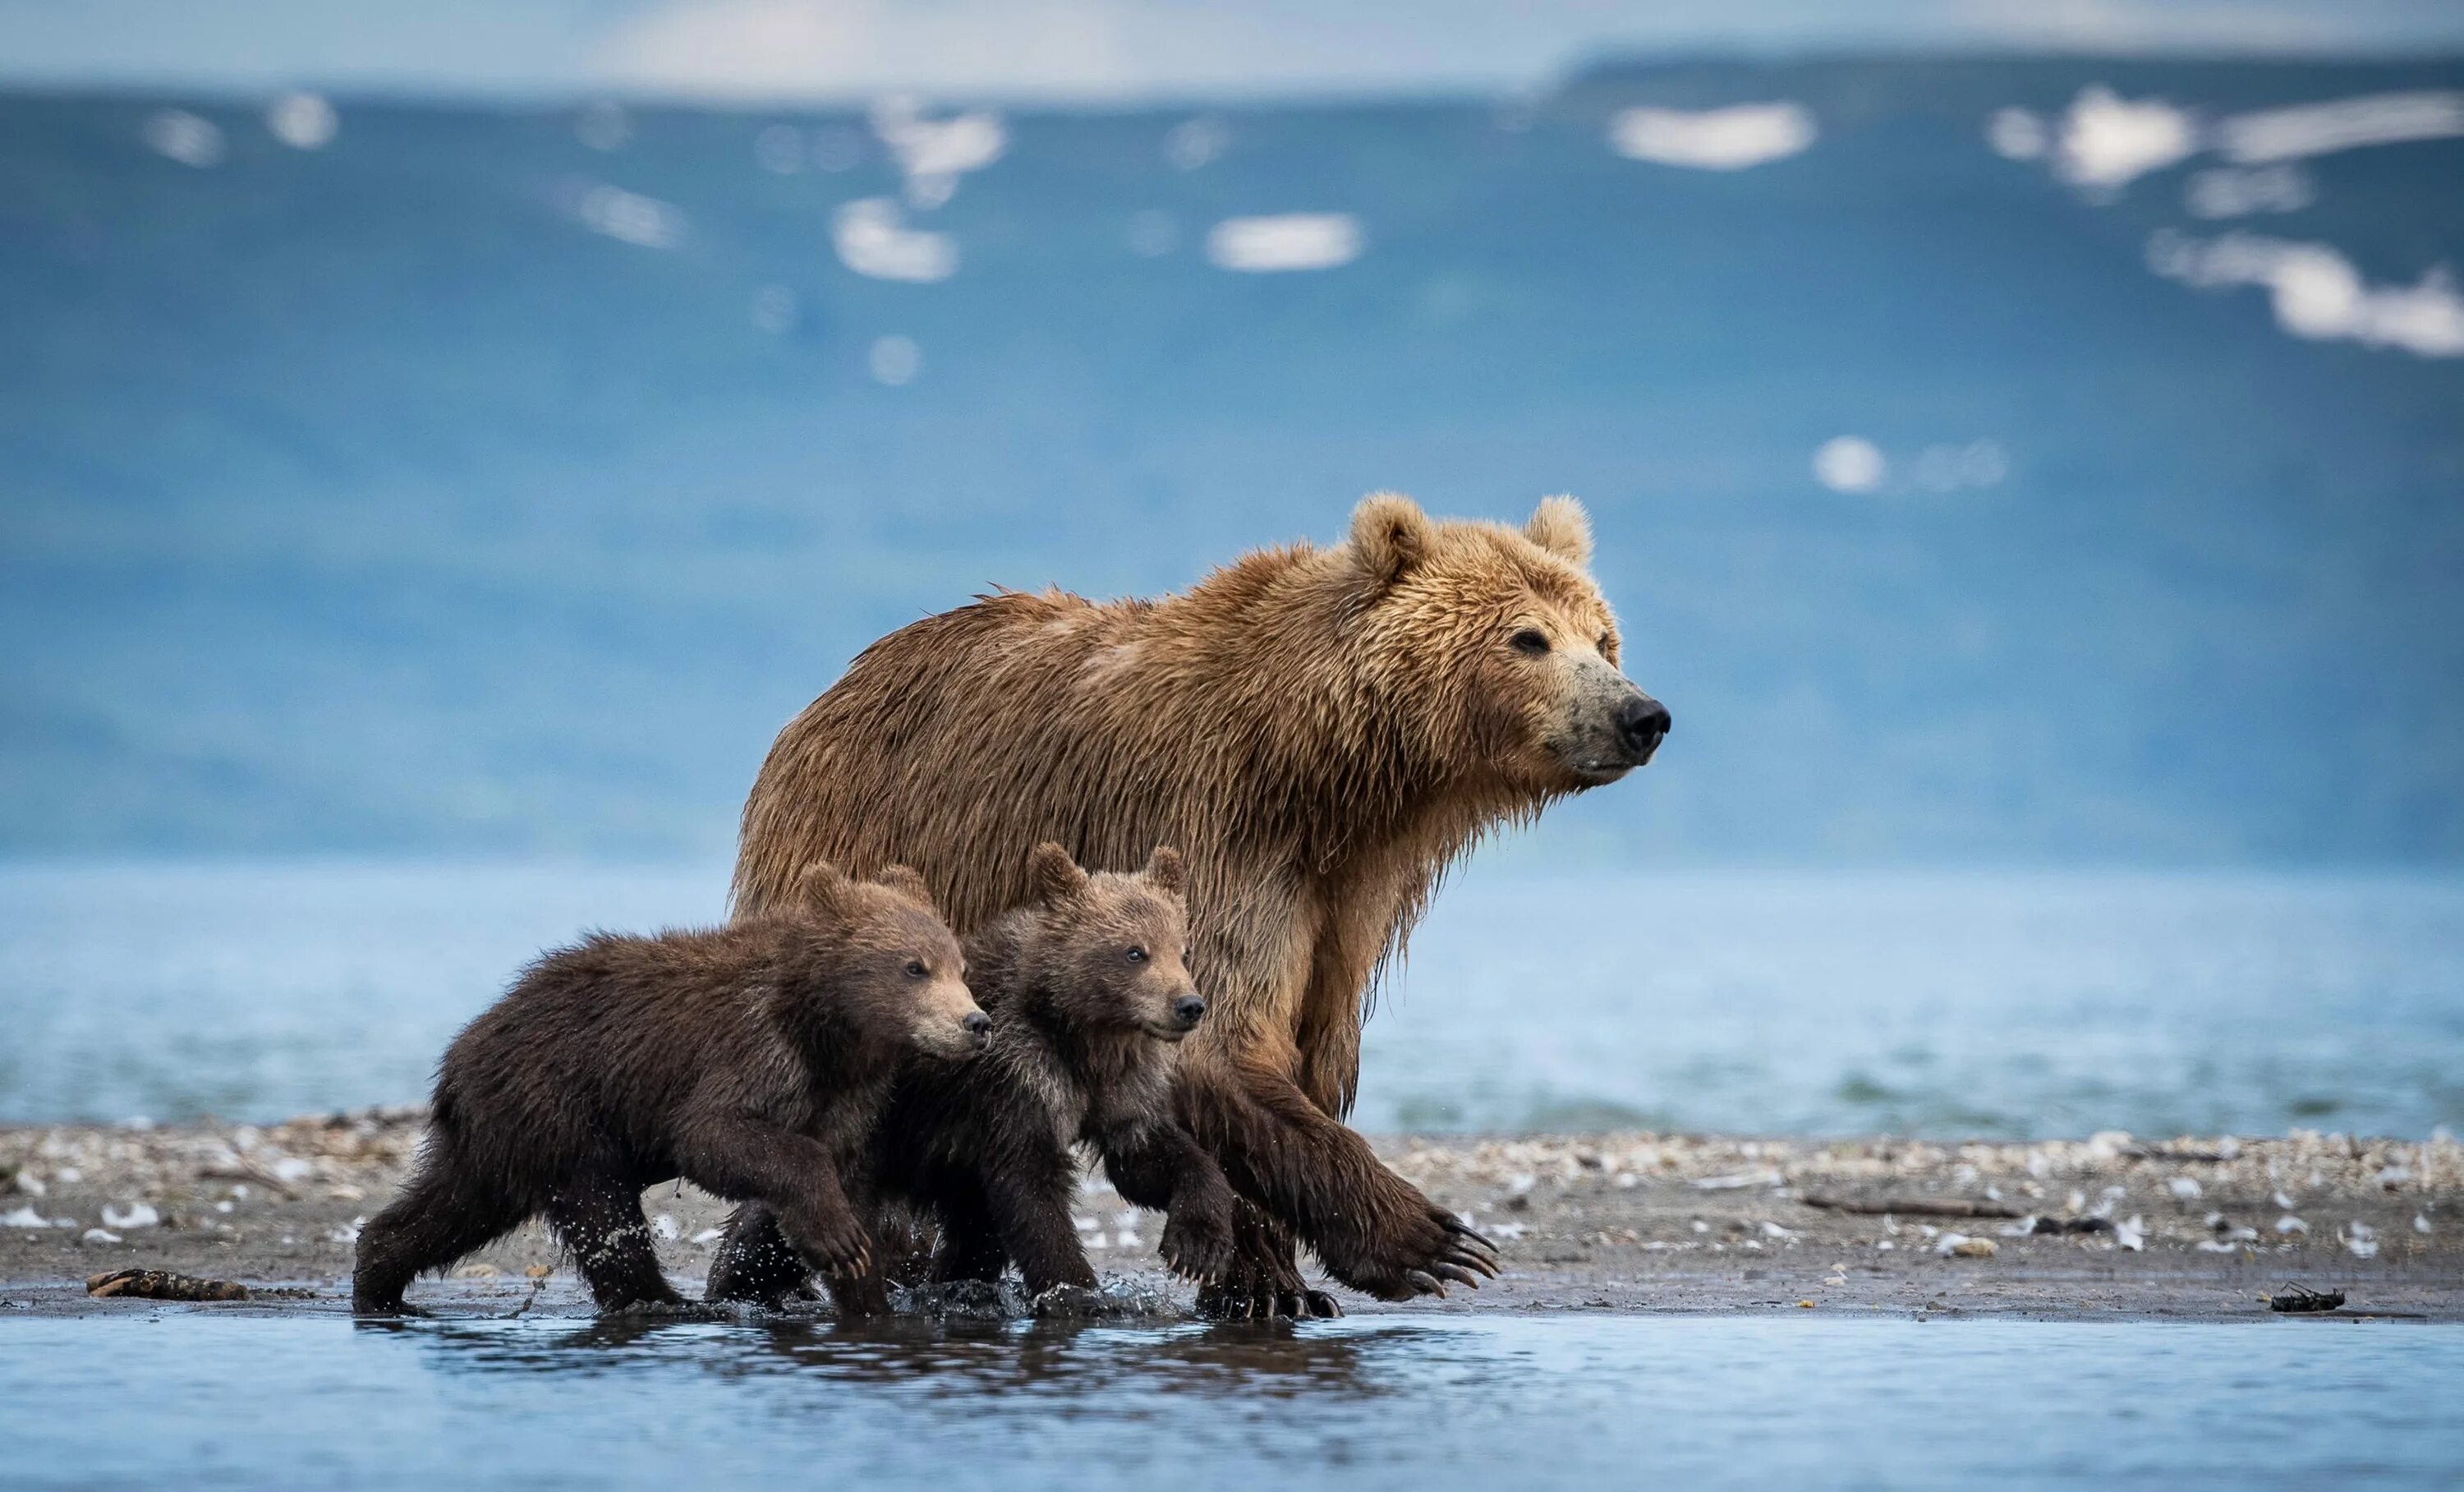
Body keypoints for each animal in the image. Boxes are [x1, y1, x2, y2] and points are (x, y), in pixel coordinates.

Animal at [352, 863, 986, 1311]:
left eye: (960, 966)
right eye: (914, 966)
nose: (974, 1023)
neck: (826, 1032)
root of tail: (458, 1056)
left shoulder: (845, 1098)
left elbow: (844, 1177)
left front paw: (857, 1275)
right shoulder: (752, 1050)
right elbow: (715, 1136)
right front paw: (839, 1240)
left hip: (503, 1131)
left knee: (456, 1203)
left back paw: (376, 1274)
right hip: (556, 1102)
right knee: (600, 1208)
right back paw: (662, 1300)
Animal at [710, 843, 1252, 1311]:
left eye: (1183, 949)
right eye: (1135, 952)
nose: (1189, 1005)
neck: (1079, 1036)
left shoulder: (1120, 1086)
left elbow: (1144, 1156)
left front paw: (1199, 1243)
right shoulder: (1017, 1079)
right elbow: (1031, 1188)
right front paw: (1079, 1292)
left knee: (973, 1229)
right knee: (777, 1221)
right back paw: (735, 1287)